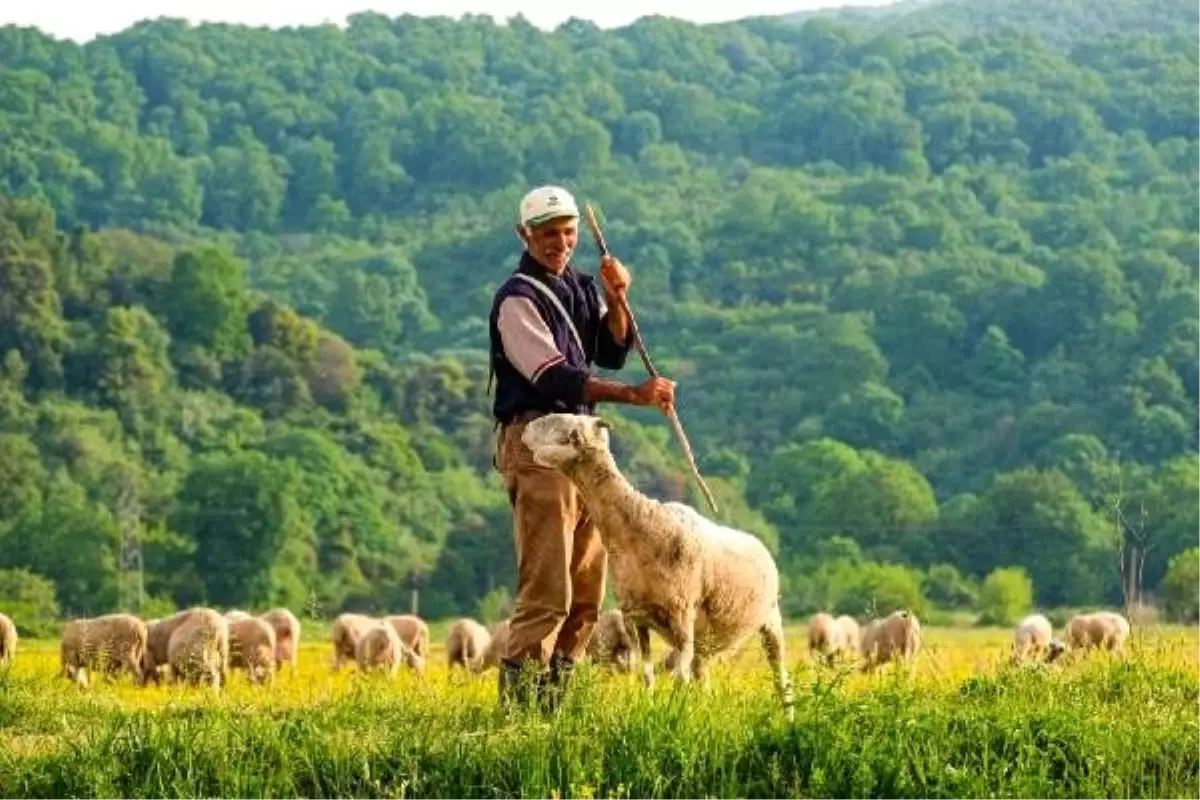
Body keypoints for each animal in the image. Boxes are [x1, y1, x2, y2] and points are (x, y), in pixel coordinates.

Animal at [518, 417, 792, 724]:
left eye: (556, 422)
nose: (524, 429)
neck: (638, 528)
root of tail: (761, 545)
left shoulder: (682, 616)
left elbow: (680, 679)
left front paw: (677, 717)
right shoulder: (637, 618)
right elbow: (647, 676)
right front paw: (649, 711)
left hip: (770, 619)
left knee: (780, 677)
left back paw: (788, 718)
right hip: (706, 640)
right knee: (702, 676)